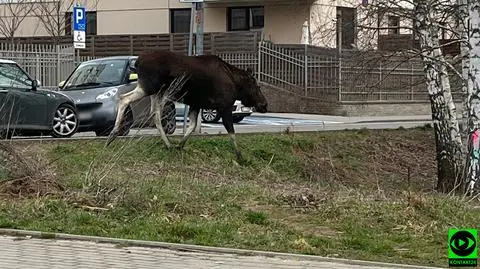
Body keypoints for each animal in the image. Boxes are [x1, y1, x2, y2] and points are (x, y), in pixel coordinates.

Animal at [105, 49, 268, 160]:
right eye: (256, 86)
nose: (265, 104)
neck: (236, 84)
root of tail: (137, 62)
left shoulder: (196, 104)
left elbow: (192, 126)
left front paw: (180, 145)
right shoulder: (225, 106)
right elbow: (231, 131)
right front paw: (240, 156)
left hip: (156, 91)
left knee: (154, 113)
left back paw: (168, 144)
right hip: (150, 87)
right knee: (125, 98)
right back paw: (113, 135)